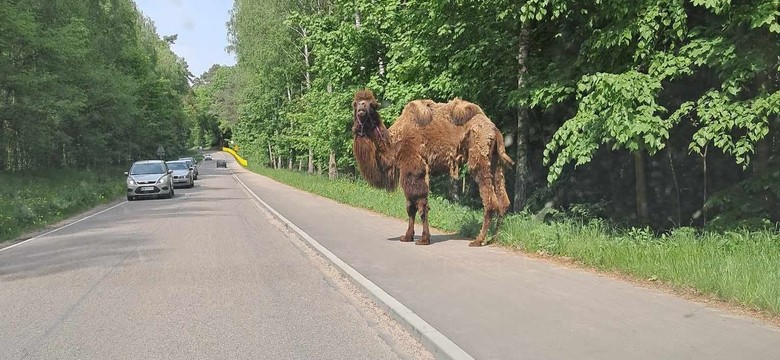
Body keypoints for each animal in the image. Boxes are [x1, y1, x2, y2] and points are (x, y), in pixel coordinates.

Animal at [352, 90, 512, 248]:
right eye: (356, 103)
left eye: (371, 105)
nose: (361, 107)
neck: (393, 144)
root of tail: (495, 130)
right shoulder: (408, 171)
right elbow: (410, 206)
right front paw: (407, 236)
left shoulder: (414, 168)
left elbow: (420, 205)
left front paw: (424, 239)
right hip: (495, 162)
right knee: (503, 201)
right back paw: (493, 237)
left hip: (479, 155)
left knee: (490, 201)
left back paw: (478, 240)